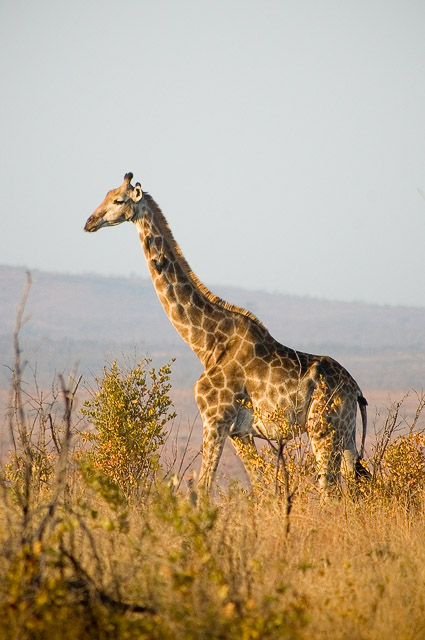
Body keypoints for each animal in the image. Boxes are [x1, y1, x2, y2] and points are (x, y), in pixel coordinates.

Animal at [84, 172, 369, 495]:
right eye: (105, 194)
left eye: (118, 200)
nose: (89, 222)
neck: (207, 342)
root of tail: (356, 389)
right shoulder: (240, 432)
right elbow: (261, 490)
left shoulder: (215, 419)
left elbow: (203, 488)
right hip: (346, 433)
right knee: (353, 488)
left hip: (323, 429)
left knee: (329, 491)